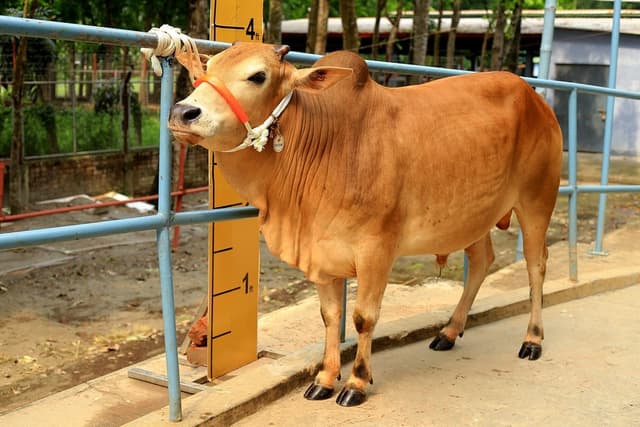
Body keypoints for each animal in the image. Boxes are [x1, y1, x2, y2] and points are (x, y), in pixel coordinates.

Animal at [168, 42, 562, 407]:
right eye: (208, 68)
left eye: (258, 76)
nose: (183, 112)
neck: (324, 146)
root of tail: (533, 97)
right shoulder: (320, 254)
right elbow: (330, 316)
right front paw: (325, 379)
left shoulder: (376, 250)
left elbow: (363, 318)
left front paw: (357, 381)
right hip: (471, 216)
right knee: (481, 261)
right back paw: (449, 332)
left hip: (537, 201)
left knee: (536, 265)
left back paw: (532, 339)